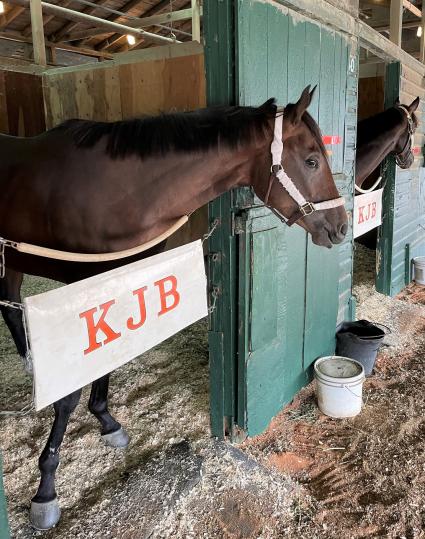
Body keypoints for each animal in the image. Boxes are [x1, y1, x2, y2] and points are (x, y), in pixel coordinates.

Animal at [0, 85, 348, 532]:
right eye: (311, 160)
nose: (340, 227)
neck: (114, 190)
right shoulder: (80, 294)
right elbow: (70, 391)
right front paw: (46, 490)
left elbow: (110, 359)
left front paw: (107, 421)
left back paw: (29, 362)